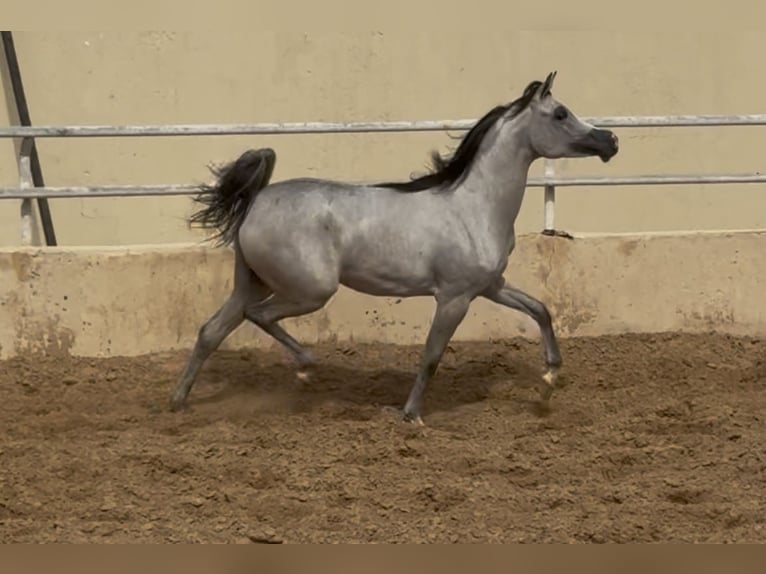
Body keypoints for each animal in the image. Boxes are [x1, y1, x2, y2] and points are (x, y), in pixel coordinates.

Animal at [169, 72, 619, 425]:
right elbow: (432, 355)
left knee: (212, 331)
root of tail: (258, 200)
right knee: (257, 317)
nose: (610, 140)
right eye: (560, 113)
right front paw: (412, 414)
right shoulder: (454, 297)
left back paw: (178, 402)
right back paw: (306, 368)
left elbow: (540, 309)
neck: (474, 205)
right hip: (310, 291)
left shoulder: (490, 286)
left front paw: (550, 378)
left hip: (253, 282)